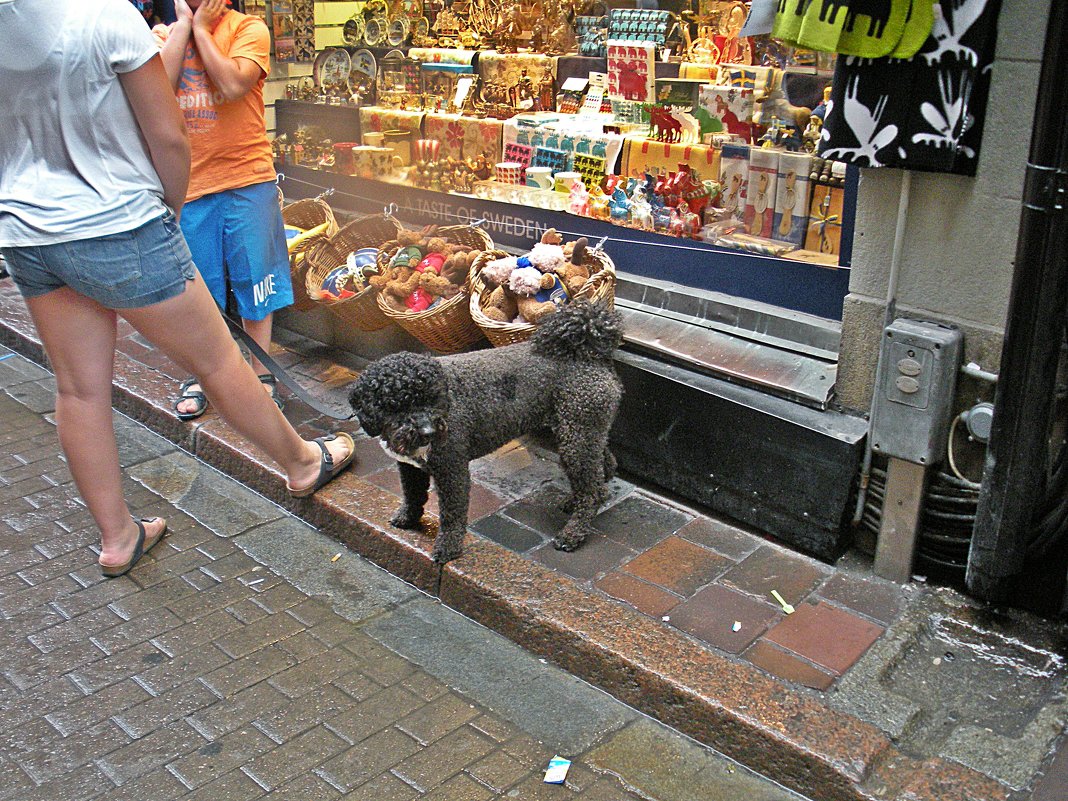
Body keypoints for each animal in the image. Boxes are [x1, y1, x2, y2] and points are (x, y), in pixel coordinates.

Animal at [346, 301, 623, 563]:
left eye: (433, 398)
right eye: (396, 405)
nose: (428, 431)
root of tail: (588, 353)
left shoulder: (452, 468)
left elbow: (452, 514)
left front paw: (448, 548)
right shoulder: (410, 467)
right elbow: (412, 496)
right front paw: (407, 519)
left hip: (576, 437)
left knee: (590, 488)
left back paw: (573, 533)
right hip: (576, 432)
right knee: (603, 467)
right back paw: (585, 498)